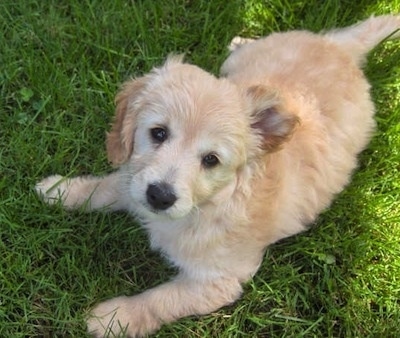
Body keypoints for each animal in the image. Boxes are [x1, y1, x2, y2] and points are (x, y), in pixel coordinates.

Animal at [36, 15, 398, 338]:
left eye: (211, 160)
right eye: (158, 133)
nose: (160, 196)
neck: (211, 203)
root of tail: (340, 50)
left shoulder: (219, 280)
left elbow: (161, 299)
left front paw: (114, 318)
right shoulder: (136, 177)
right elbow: (106, 187)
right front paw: (60, 190)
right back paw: (241, 41)